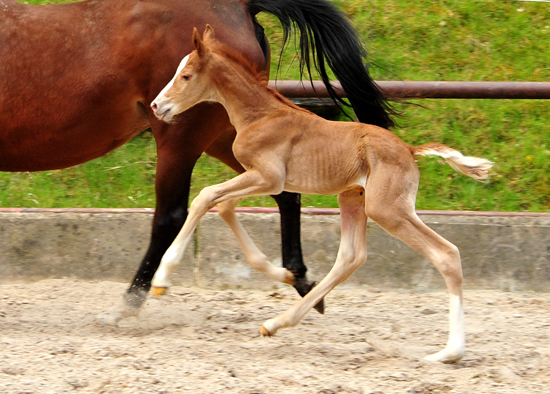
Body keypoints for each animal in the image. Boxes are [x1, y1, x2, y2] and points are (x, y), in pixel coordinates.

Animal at [152, 25, 496, 364]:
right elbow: (223, 207)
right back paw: (276, 323)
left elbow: (205, 196)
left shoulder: (268, 177)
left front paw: (162, 278)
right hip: (354, 198)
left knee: (446, 254)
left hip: (387, 210)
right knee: (351, 256)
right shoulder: (260, 179)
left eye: (186, 75)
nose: (157, 106)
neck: (260, 115)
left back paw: (449, 352)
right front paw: (284, 275)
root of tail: (410, 150)